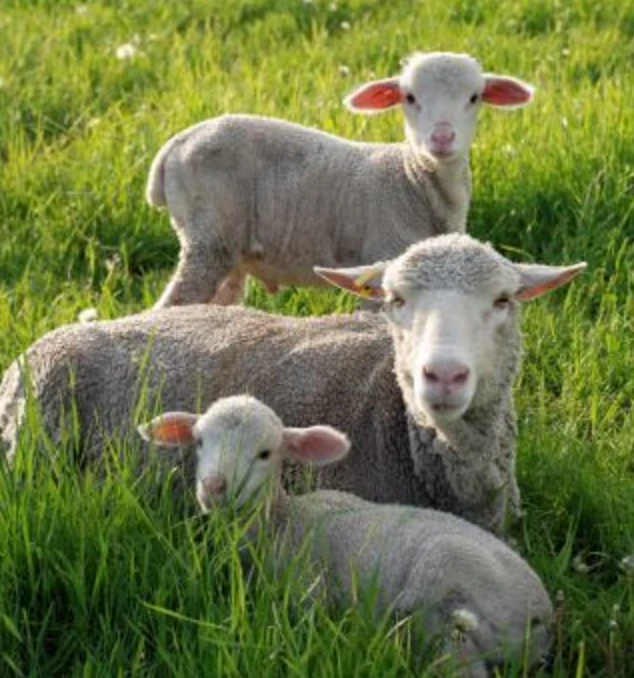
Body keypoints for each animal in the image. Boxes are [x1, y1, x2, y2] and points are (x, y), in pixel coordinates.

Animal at [138, 394, 554, 678]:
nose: (213, 487)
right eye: (199, 441)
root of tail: (541, 616)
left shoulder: (308, 590)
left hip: (447, 567)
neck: (283, 523)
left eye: (265, 453)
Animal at [146, 52, 534, 307]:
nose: (441, 138)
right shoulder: (379, 263)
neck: (412, 178)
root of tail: (174, 146)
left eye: (474, 97)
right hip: (209, 236)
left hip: (228, 248)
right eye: (409, 97)